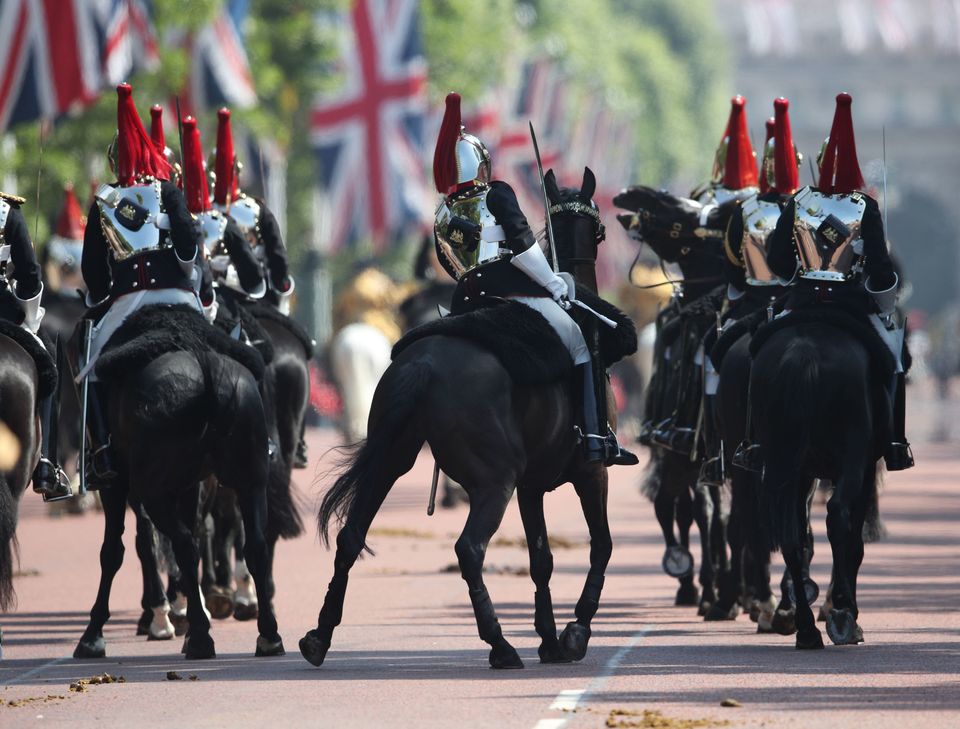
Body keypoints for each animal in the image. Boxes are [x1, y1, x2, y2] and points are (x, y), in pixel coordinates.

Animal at [73, 304, 284, 656]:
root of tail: (205, 372)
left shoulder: (116, 486)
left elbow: (112, 552)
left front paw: (92, 635)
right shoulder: (190, 484)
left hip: (153, 491)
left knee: (184, 545)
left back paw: (197, 635)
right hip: (251, 482)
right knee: (253, 544)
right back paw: (266, 634)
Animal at [298, 168, 632, 668]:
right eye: (602, 230)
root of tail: (423, 363)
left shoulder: (532, 486)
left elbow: (541, 559)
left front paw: (550, 640)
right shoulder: (592, 473)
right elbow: (603, 546)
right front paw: (575, 632)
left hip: (391, 461)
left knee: (351, 536)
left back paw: (319, 637)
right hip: (495, 482)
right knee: (469, 549)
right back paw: (499, 643)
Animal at [752, 322, 892, 644]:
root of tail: (804, 352)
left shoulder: (803, 473)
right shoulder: (864, 465)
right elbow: (854, 540)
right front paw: (846, 610)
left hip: (786, 465)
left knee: (791, 537)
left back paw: (804, 628)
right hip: (853, 457)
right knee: (838, 517)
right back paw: (840, 612)